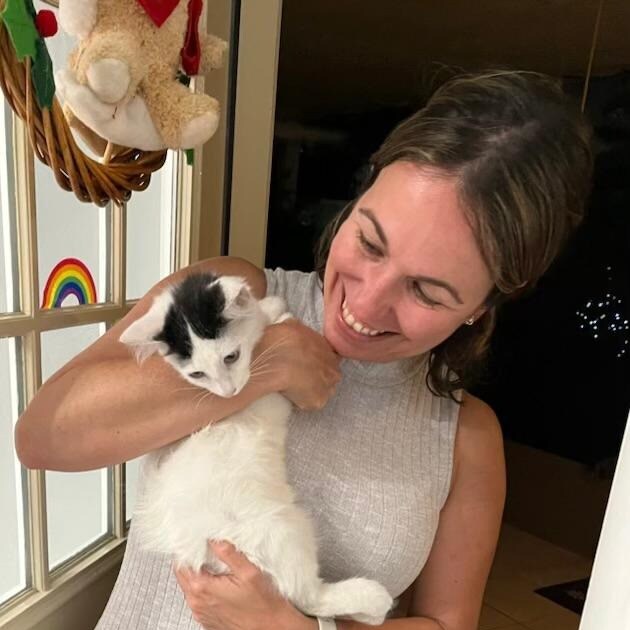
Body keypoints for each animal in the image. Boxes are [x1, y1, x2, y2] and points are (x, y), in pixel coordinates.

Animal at [119, 272, 394, 625]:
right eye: (197, 373)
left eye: (230, 357)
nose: (229, 392)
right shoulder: (274, 396)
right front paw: (275, 312)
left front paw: (267, 308)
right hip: (286, 528)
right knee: (310, 597)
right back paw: (373, 599)